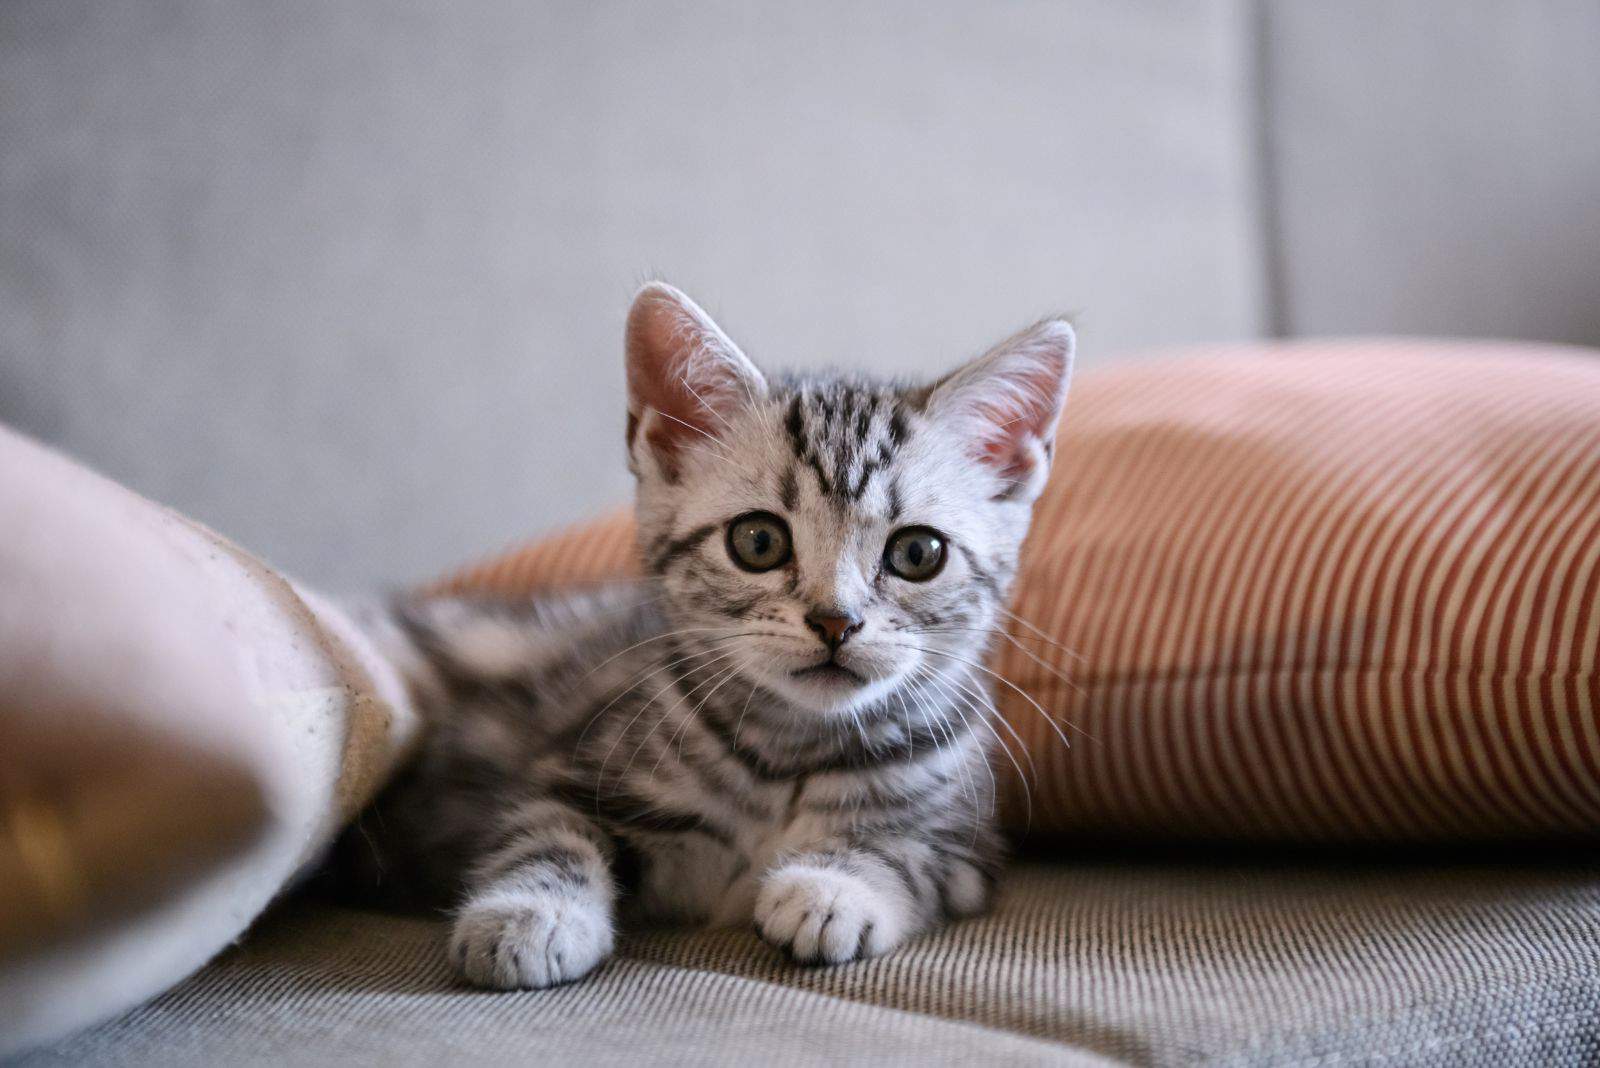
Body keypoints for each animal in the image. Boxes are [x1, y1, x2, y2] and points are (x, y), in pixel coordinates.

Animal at [344, 286, 1081, 991]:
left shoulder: (967, 847)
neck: (790, 753)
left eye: (918, 553)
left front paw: (831, 887)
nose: (835, 620)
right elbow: (546, 834)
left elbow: (902, 849)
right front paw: (529, 912)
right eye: (758, 541)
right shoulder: (573, 765)